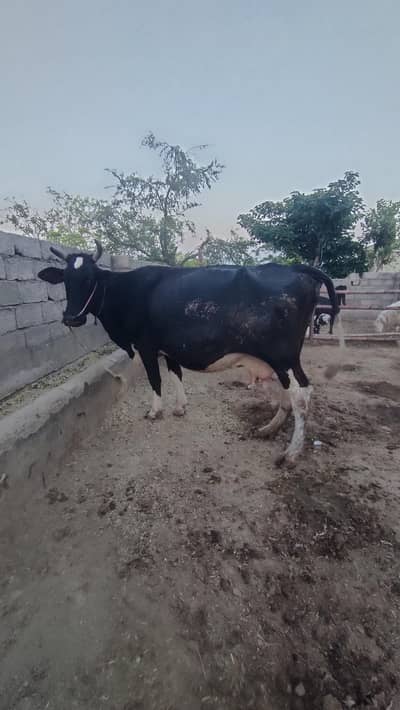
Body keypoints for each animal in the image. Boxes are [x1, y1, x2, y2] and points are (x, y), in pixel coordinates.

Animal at [38, 242, 339, 466]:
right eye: (65, 280)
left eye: (90, 279)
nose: (71, 318)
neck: (126, 291)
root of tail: (294, 267)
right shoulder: (170, 347)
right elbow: (176, 374)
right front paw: (180, 407)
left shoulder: (146, 346)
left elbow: (156, 380)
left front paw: (155, 411)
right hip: (274, 359)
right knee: (286, 391)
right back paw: (269, 428)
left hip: (283, 356)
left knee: (301, 394)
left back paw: (291, 453)